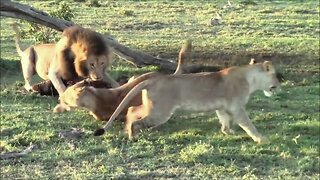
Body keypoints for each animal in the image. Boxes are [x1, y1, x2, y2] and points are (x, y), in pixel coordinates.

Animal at [94, 60, 280, 143]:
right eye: (276, 76)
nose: (279, 85)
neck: (250, 78)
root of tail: (153, 80)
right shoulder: (237, 108)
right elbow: (248, 124)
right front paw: (261, 139)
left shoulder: (222, 107)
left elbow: (224, 120)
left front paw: (227, 132)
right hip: (160, 111)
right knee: (137, 121)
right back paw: (133, 136)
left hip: (151, 107)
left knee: (132, 110)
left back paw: (129, 131)